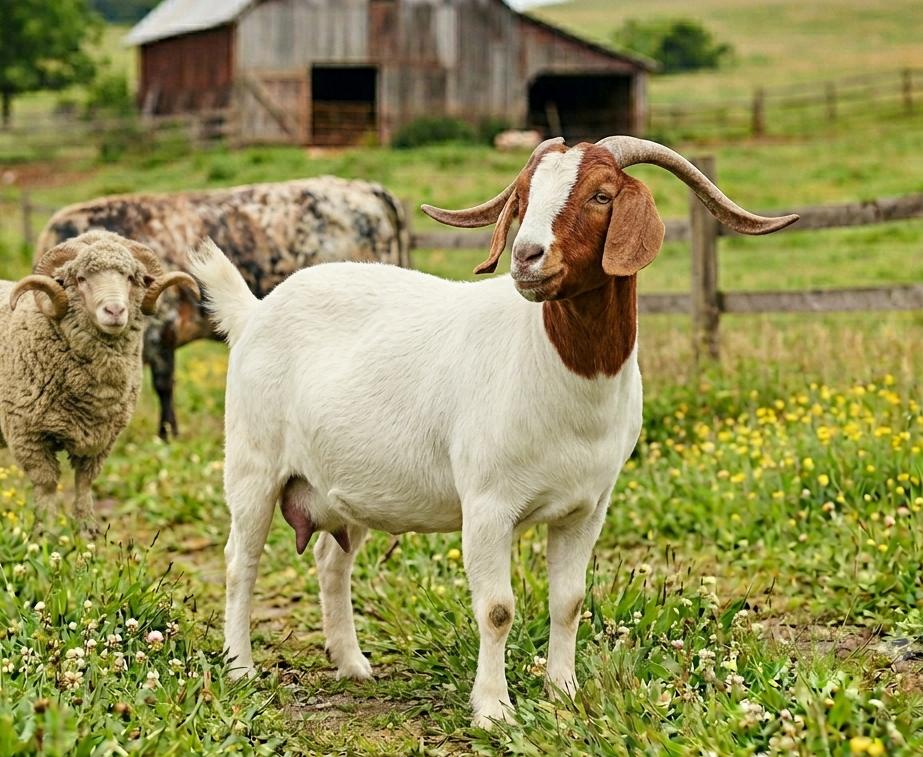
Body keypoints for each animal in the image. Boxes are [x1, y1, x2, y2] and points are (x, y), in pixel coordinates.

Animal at [189, 137, 797, 727]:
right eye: (523, 198)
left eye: (601, 195)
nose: (526, 257)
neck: (557, 370)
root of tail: (253, 312)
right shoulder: (486, 504)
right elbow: (497, 608)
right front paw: (492, 709)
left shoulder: (588, 507)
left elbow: (569, 600)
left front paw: (563, 691)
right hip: (253, 466)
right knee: (240, 561)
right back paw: (240, 667)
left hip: (348, 488)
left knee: (330, 562)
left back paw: (353, 664)